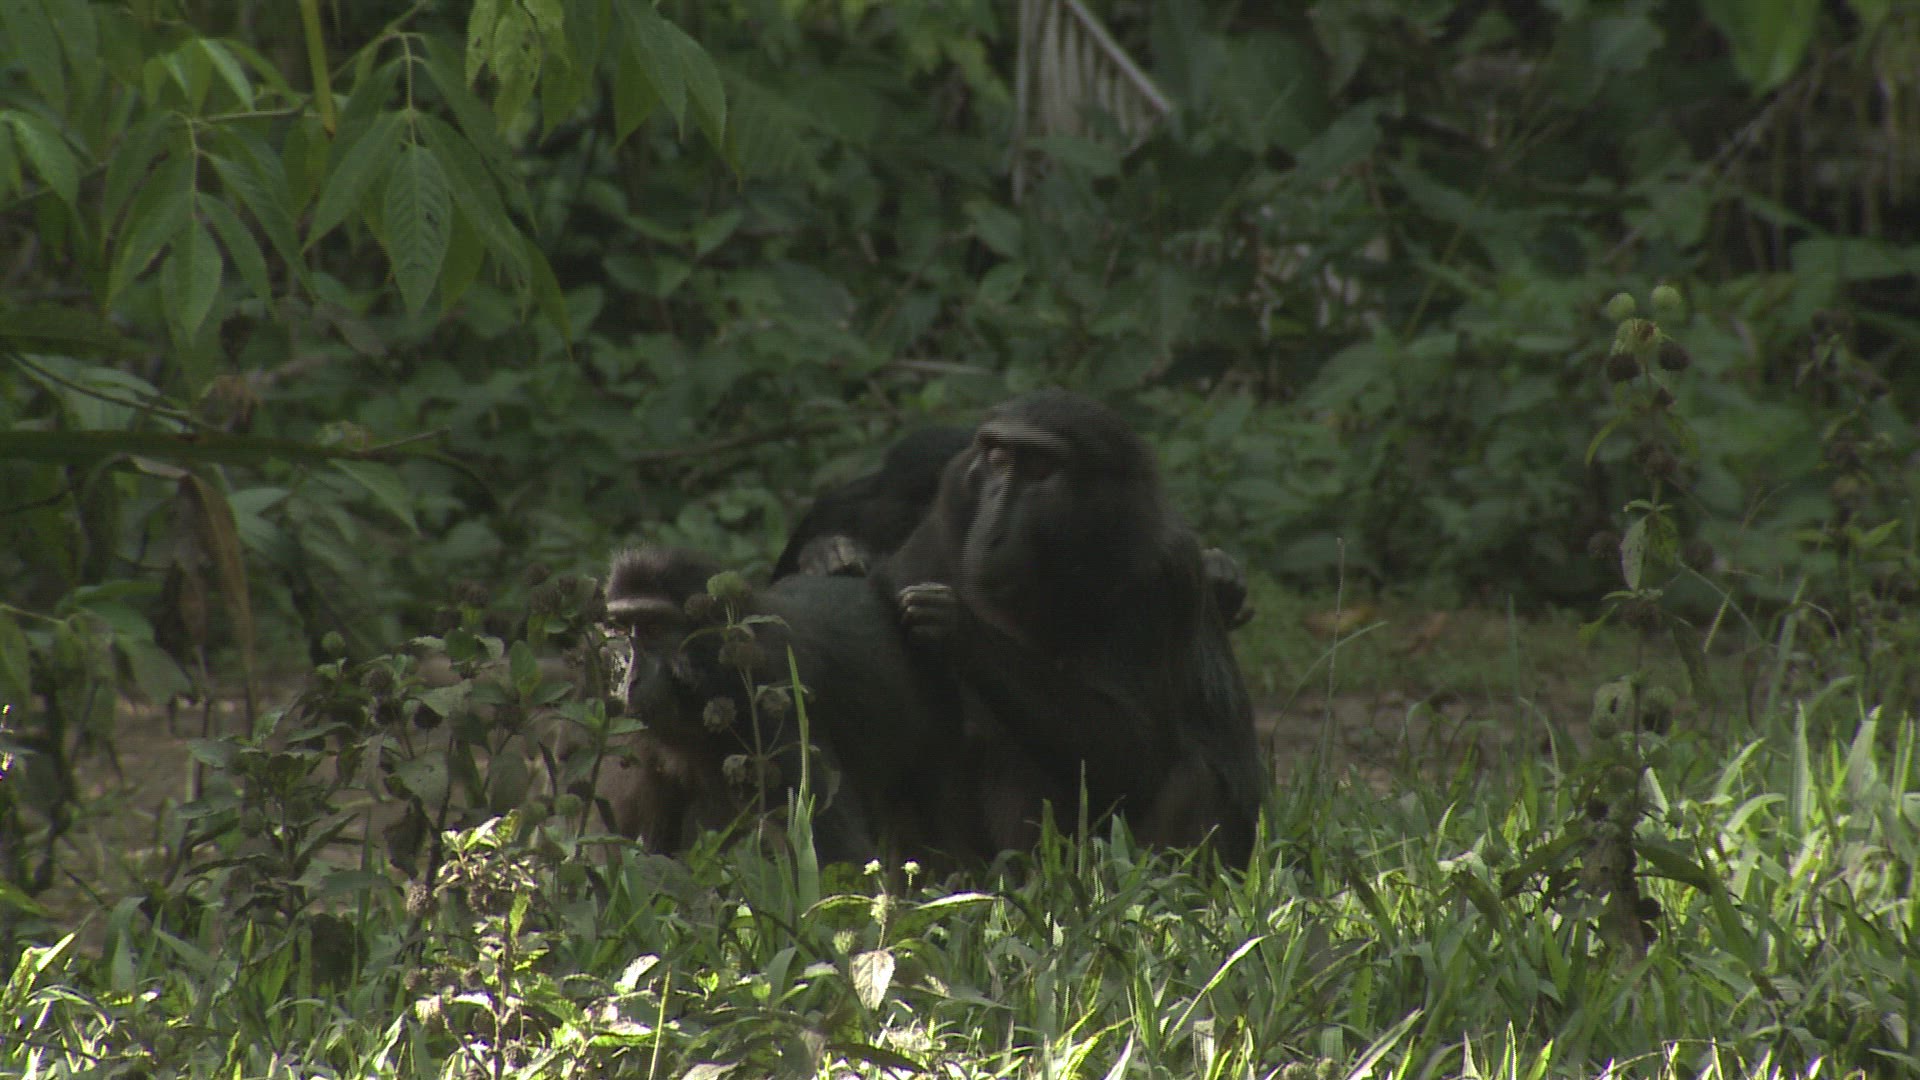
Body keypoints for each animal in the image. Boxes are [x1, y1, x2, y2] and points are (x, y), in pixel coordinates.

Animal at [875, 389, 1267, 867]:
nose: (993, 531)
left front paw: (962, 631)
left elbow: (1136, 755)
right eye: (999, 457)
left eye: (1040, 468)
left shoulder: (1157, 576)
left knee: (1190, 778)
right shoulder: (943, 519)